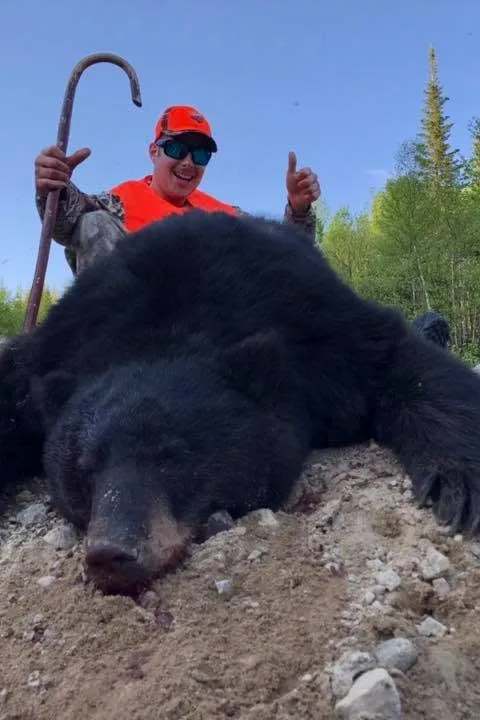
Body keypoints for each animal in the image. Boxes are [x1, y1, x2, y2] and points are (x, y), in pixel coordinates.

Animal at [1, 211, 480, 593]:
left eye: (172, 458)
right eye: (85, 467)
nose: (111, 551)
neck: (171, 324)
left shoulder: (320, 324)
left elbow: (403, 360)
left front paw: (459, 483)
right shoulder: (60, 342)